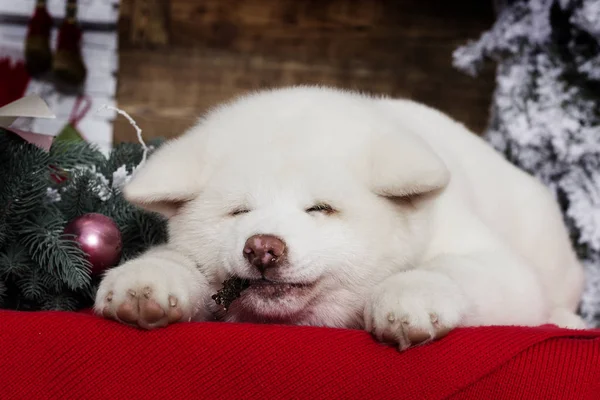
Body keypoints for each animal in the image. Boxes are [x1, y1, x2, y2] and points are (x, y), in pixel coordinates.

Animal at [95, 86, 584, 348]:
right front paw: (145, 281)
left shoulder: (494, 262)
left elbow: (449, 269)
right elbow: (175, 259)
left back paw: (569, 321)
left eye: (320, 209)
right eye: (240, 211)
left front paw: (408, 297)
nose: (262, 247)